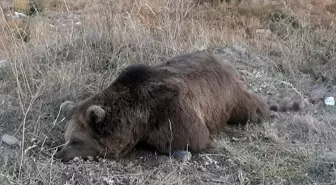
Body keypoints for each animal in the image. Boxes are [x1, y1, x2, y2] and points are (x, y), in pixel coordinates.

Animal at [54, 50, 270, 160]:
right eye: (66, 138)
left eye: (76, 140)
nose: (59, 153)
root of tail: (224, 61)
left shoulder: (174, 113)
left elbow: (191, 140)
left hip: (231, 97)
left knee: (251, 109)